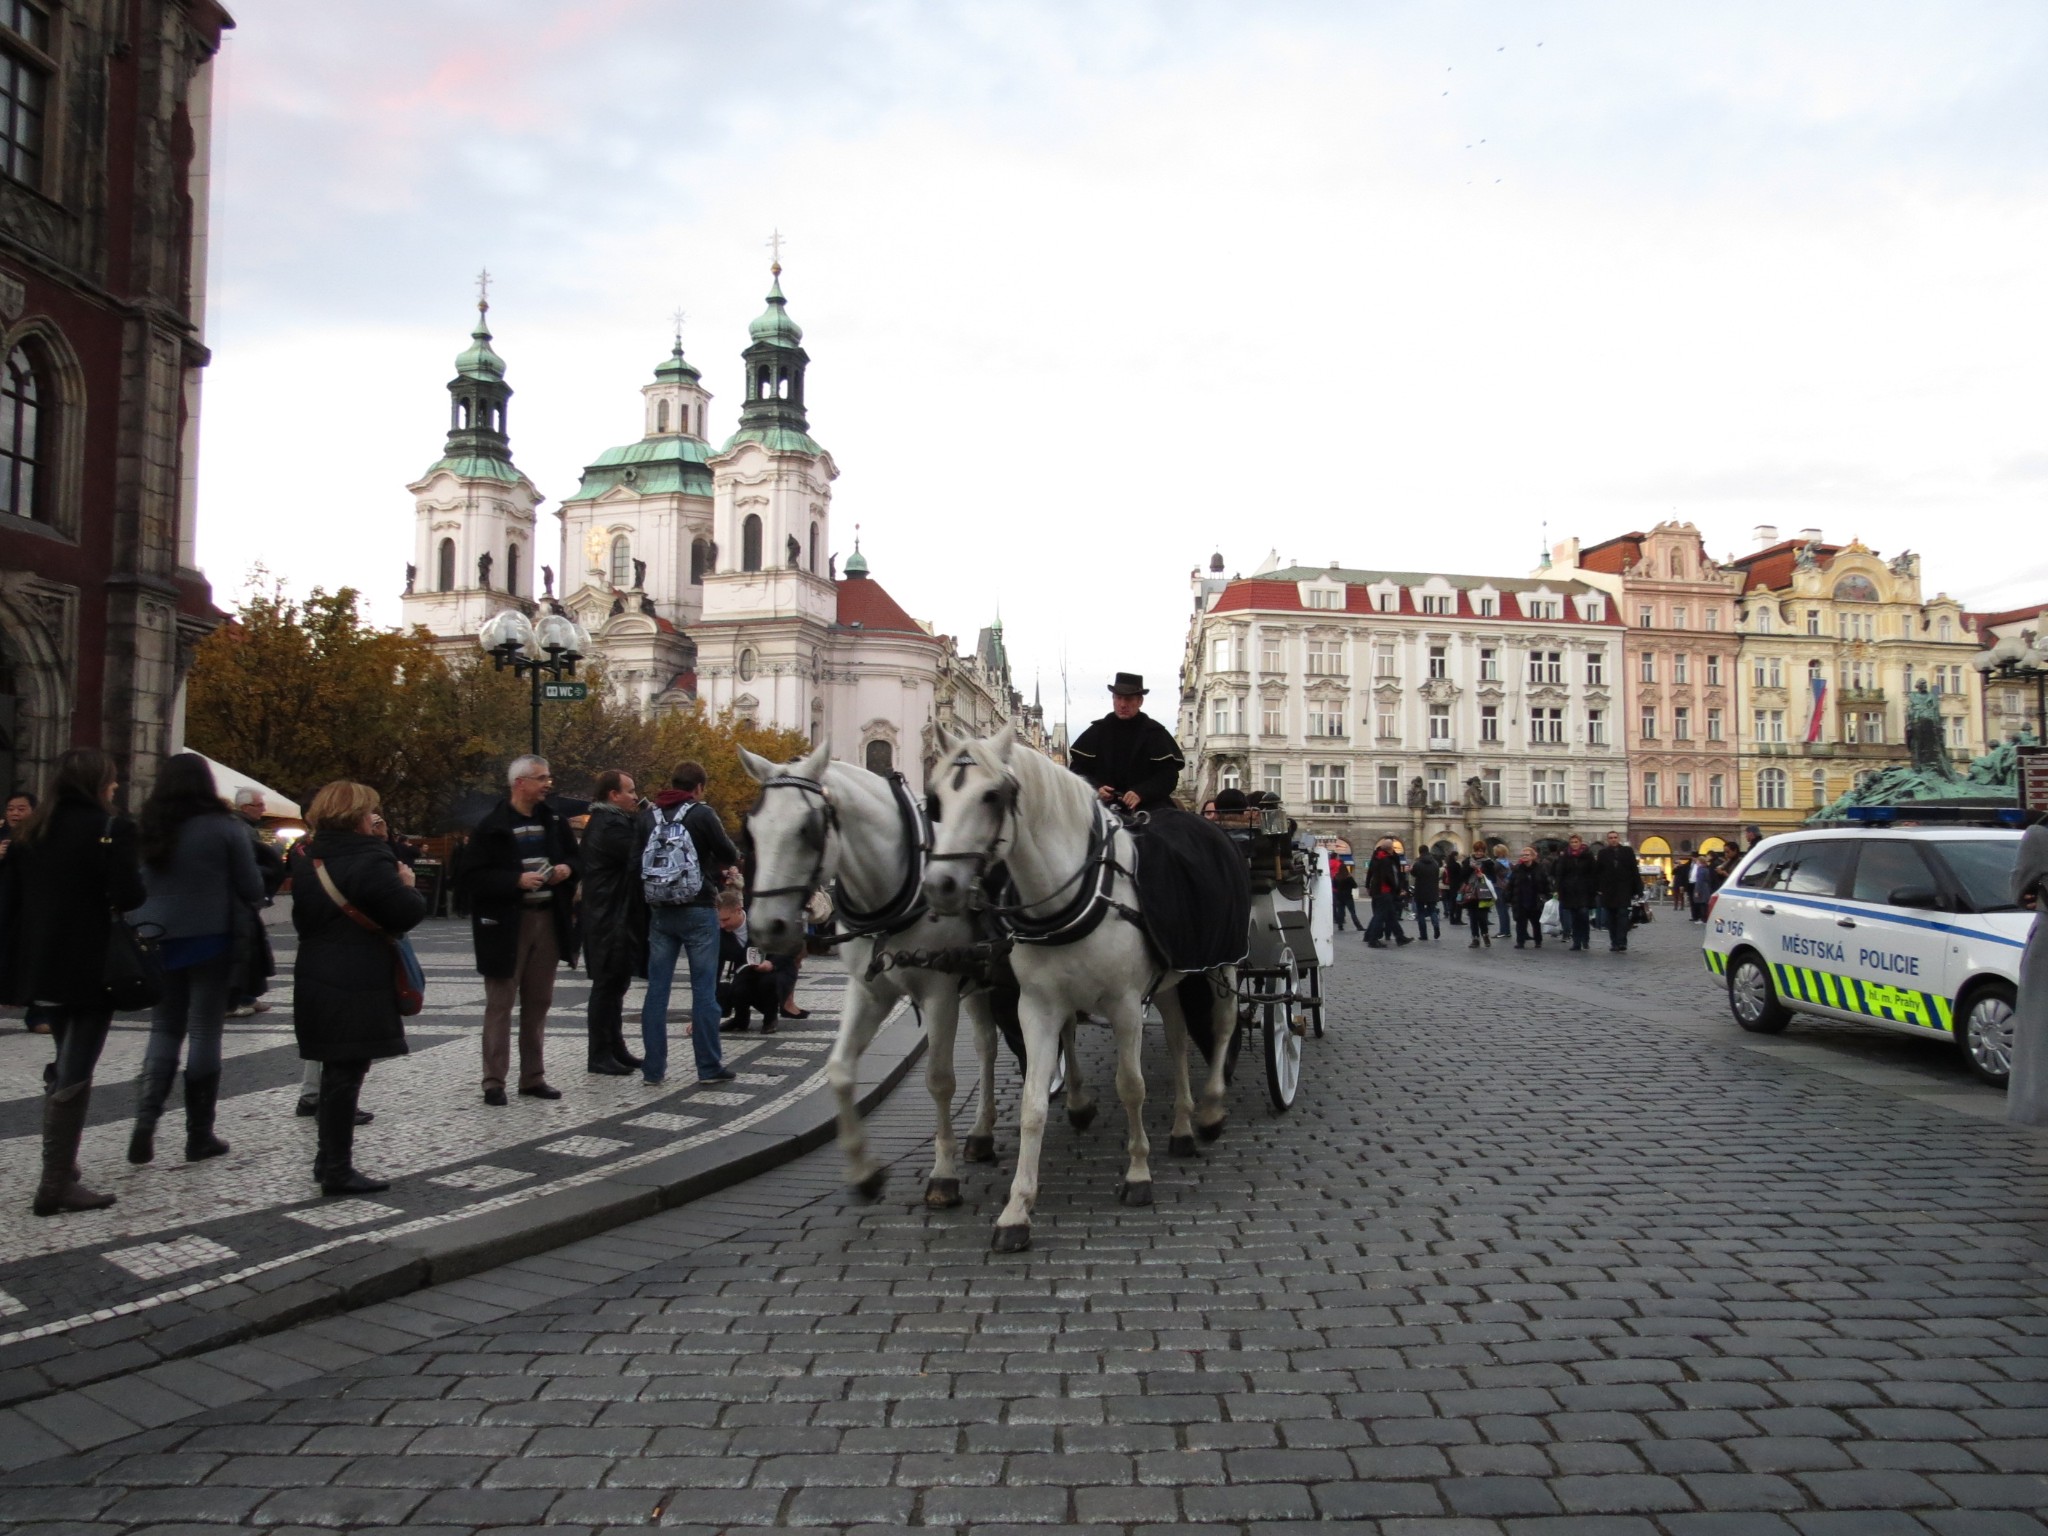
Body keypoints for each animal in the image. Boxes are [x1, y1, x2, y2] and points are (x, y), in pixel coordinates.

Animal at [741, 745, 1019, 1212]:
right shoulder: (868, 991)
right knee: (986, 1045)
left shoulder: (940, 994)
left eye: (807, 829)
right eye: (752, 829)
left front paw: (943, 1176)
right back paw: (981, 1132)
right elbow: (839, 1070)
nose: (765, 928)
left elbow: (939, 1080)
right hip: (978, 983)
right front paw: (864, 1171)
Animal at [925, 724, 1236, 1253]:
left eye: (993, 796)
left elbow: (1131, 1087)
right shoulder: (1037, 1007)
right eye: (936, 799)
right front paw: (1017, 1210)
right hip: (1170, 979)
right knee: (1178, 1041)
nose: (940, 885)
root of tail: (1209, 825)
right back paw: (1182, 1128)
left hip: (1227, 962)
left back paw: (1212, 1110)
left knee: (1222, 1027)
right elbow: (1032, 1104)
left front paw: (1137, 1174)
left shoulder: (1127, 1005)